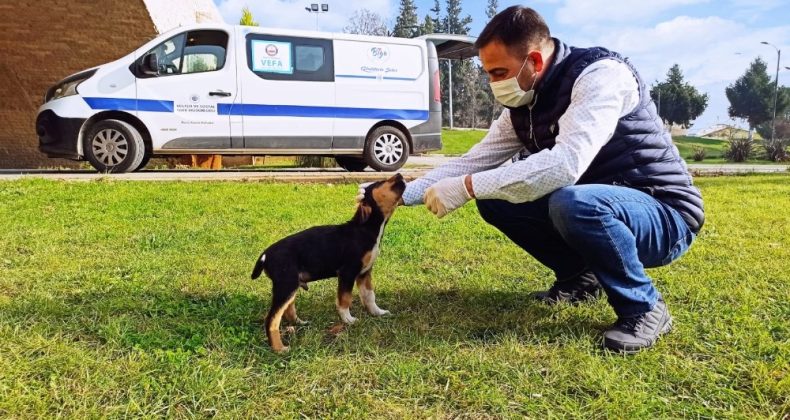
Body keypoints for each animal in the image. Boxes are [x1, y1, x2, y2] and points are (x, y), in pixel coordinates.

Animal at [251, 172, 406, 352]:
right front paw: (348, 320)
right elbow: (344, 299)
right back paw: (279, 348)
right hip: (286, 285)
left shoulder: (365, 273)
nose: (399, 174)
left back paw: (299, 323)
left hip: (290, 285)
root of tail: (265, 254)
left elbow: (369, 296)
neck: (365, 229)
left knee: (287, 310)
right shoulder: (347, 273)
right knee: (271, 319)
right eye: (381, 182)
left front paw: (377, 312)